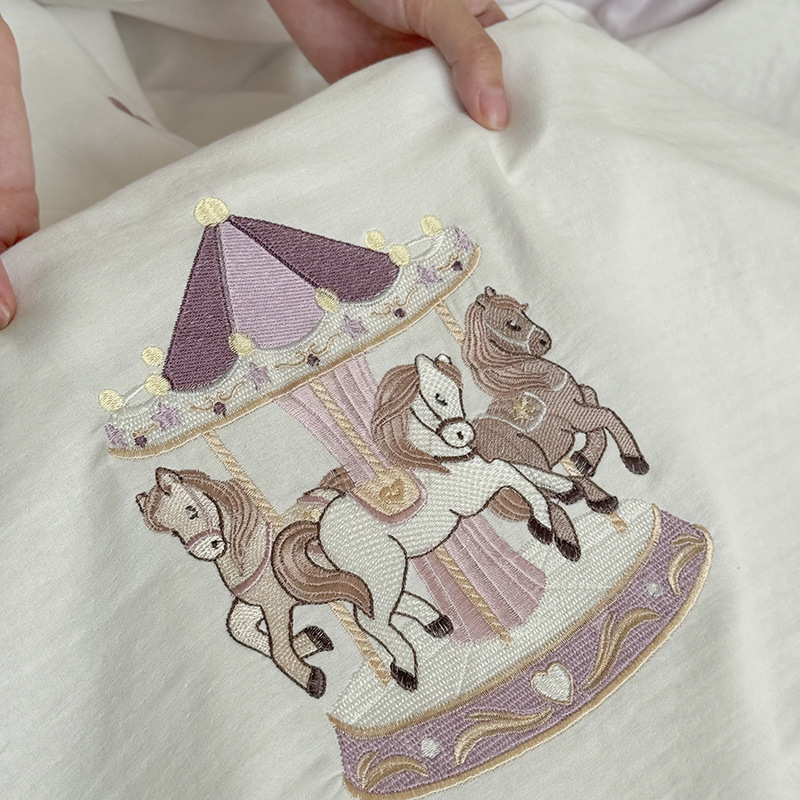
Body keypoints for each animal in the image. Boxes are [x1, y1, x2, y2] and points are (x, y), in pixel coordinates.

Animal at [136, 467, 369, 698]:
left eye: (190, 510)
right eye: (174, 532)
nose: (207, 548)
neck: (251, 553)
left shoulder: (276, 605)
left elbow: (278, 649)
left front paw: (311, 678)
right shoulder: (254, 603)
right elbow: (239, 629)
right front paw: (313, 639)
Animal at [273, 354, 575, 692]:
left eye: (459, 391)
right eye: (439, 397)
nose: (464, 434)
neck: (440, 463)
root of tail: (320, 527)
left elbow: (521, 469)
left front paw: (566, 488)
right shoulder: (476, 492)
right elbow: (514, 473)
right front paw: (544, 524)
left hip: (381, 571)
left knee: (380, 606)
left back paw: (434, 620)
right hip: (384, 568)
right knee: (371, 619)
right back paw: (406, 666)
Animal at [461, 287, 649, 547]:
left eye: (524, 312)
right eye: (511, 324)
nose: (545, 340)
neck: (530, 379)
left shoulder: (579, 402)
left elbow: (593, 399)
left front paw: (585, 459)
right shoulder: (575, 415)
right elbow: (607, 416)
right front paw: (633, 458)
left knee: (545, 493)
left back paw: (593, 502)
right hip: (530, 453)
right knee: (545, 493)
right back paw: (570, 532)